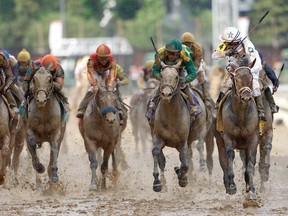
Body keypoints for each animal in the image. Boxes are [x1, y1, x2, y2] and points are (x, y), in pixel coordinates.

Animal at [214, 57, 260, 201]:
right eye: (237, 78)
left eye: (251, 78)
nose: (246, 96)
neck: (241, 116)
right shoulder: (228, 137)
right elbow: (229, 157)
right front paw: (232, 186)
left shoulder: (253, 138)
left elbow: (250, 163)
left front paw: (251, 191)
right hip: (219, 140)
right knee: (223, 161)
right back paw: (228, 185)